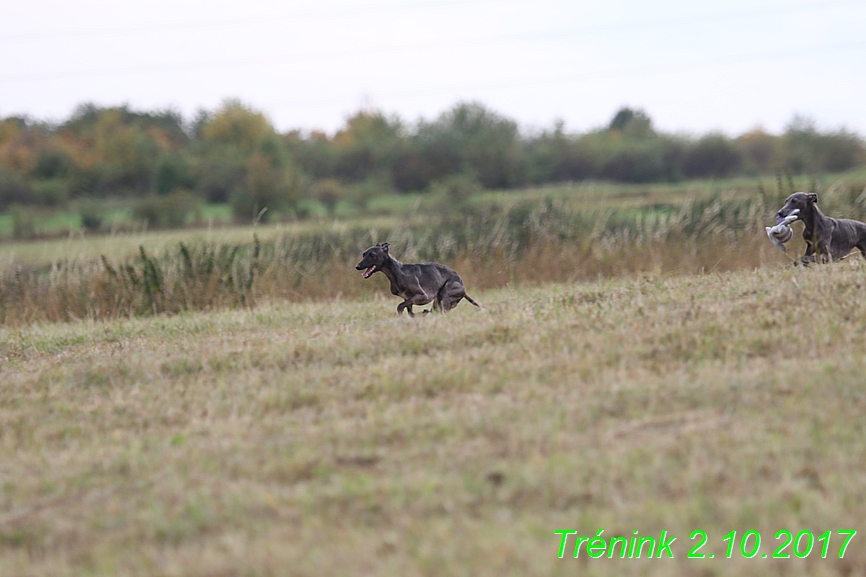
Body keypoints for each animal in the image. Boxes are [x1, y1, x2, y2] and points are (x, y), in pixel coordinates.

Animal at [354, 242, 482, 318]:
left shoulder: (422, 296)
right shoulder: (407, 298)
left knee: (440, 311)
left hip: (444, 295)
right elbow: (410, 312)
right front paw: (418, 314)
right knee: (435, 311)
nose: (357, 266)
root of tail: (463, 287)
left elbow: (400, 306)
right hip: (438, 301)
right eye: (364, 254)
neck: (397, 271)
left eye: (372, 254)